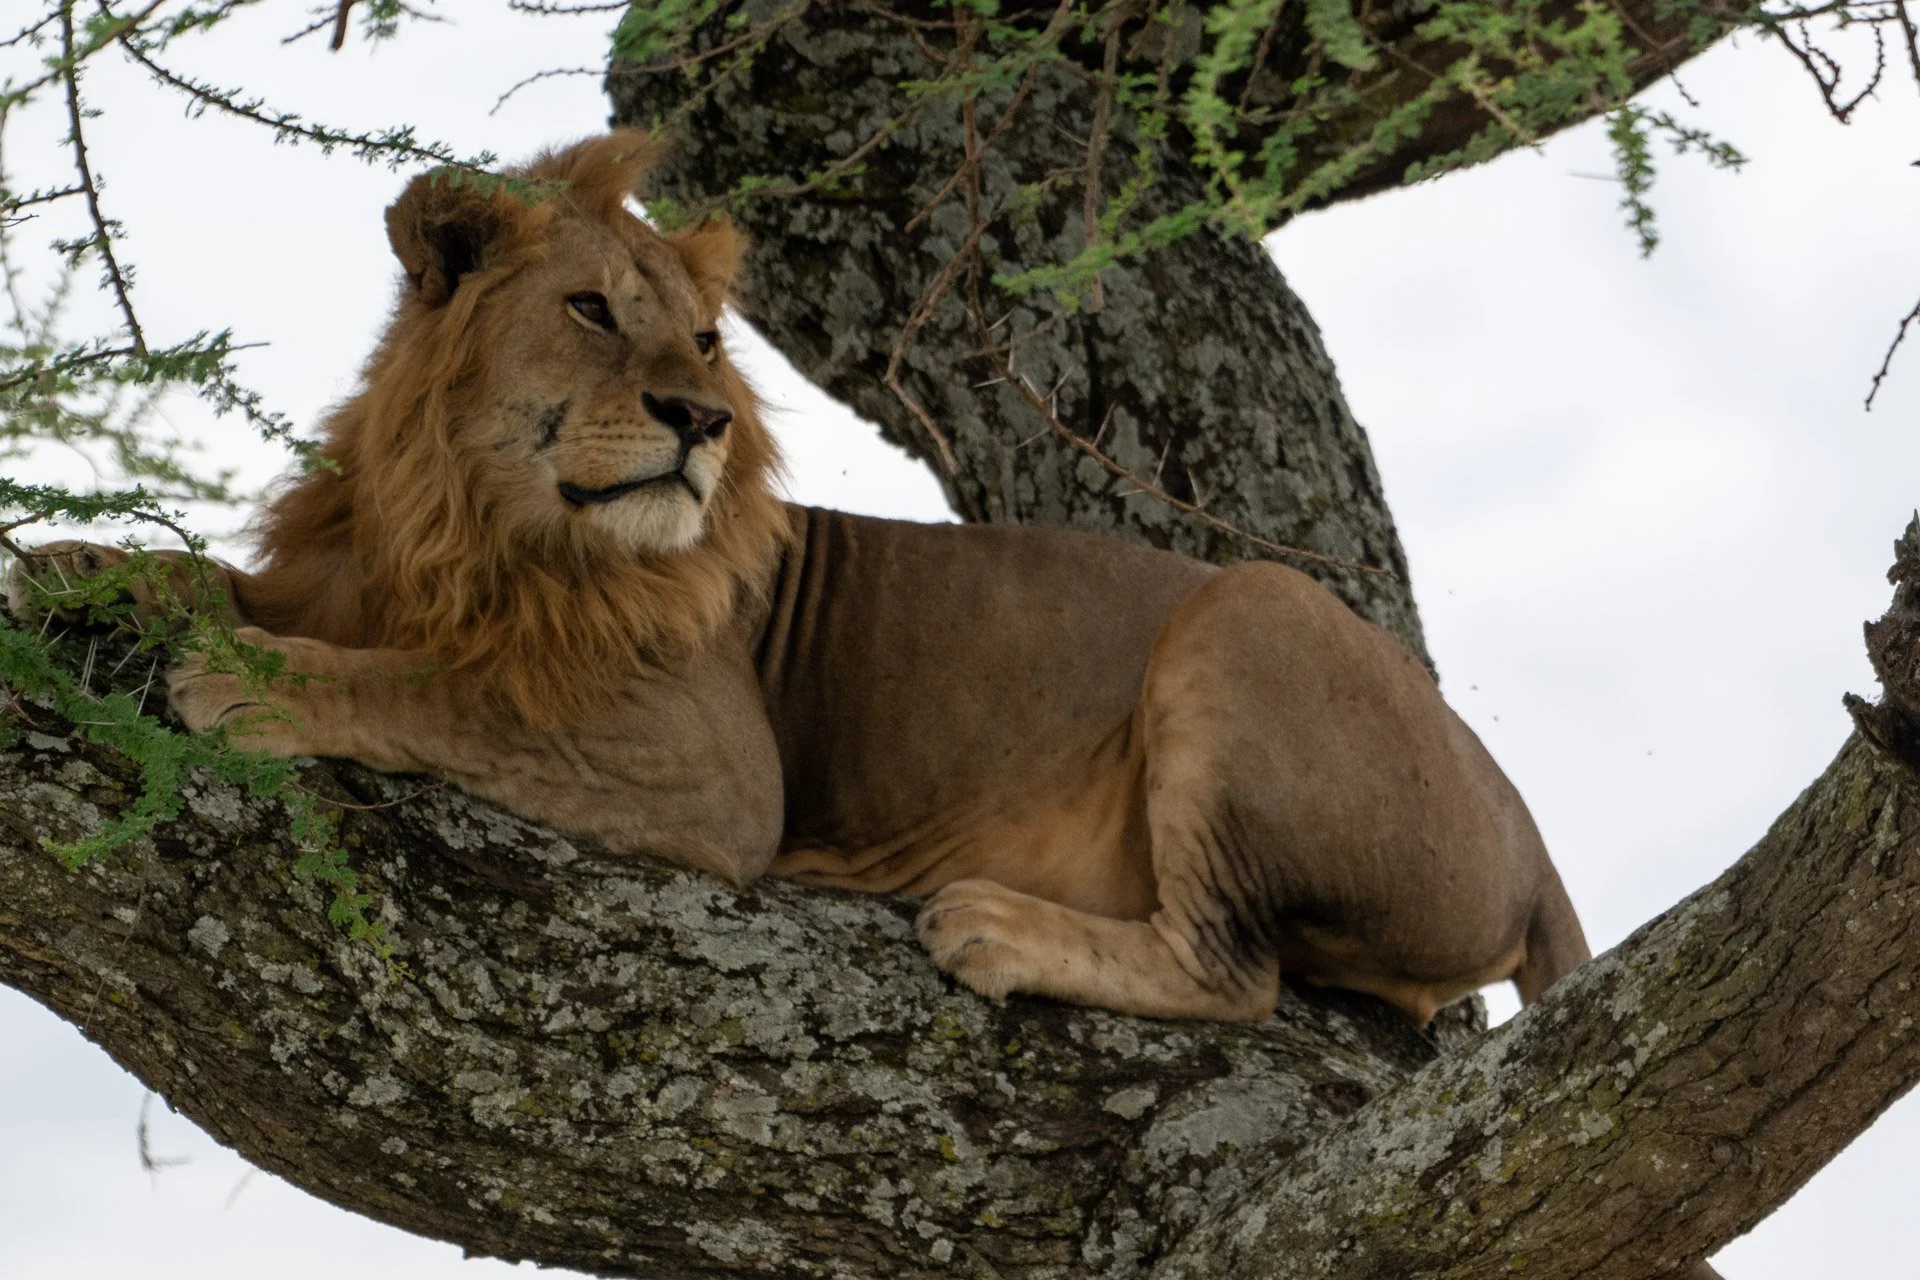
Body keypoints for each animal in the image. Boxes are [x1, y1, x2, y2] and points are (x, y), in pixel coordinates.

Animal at [7, 133, 1591, 1026]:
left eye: (709, 340)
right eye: (593, 311)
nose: (702, 420)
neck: (468, 521)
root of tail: (1532, 843)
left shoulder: (713, 772)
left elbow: (442, 692)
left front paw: (259, 683)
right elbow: (214, 581)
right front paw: (83, 565)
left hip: (1247, 608)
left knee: (1240, 974)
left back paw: (990, 928)